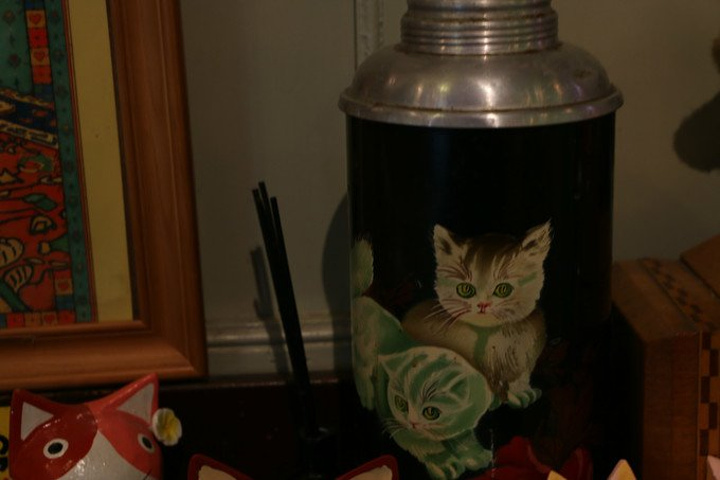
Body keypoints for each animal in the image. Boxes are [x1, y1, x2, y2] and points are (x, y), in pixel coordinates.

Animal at [351, 239, 494, 480]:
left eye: (431, 412)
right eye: (400, 403)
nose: (413, 421)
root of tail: (361, 298)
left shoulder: (461, 426)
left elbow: (464, 439)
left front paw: (475, 455)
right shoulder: (396, 423)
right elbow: (425, 446)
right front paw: (446, 464)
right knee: (362, 375)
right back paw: (367, 396)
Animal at [402, 222, 551, 408]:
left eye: (503, 289)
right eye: (466, 289)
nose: (483, 304)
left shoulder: (526, 361)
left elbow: (519, 377)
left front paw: (521, 391)